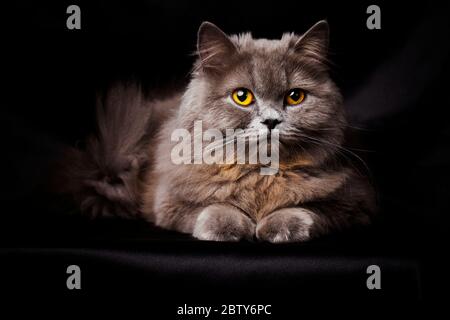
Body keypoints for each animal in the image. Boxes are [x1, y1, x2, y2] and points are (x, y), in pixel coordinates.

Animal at [61, 20, 374, 242]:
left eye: (295, 96)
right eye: (242, 97)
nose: (271, 121)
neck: (260, 174)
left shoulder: (356, 200)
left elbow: (311, 210)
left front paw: (278, 226)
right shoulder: (168, 201)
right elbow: (212, 209)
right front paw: (233, 226)